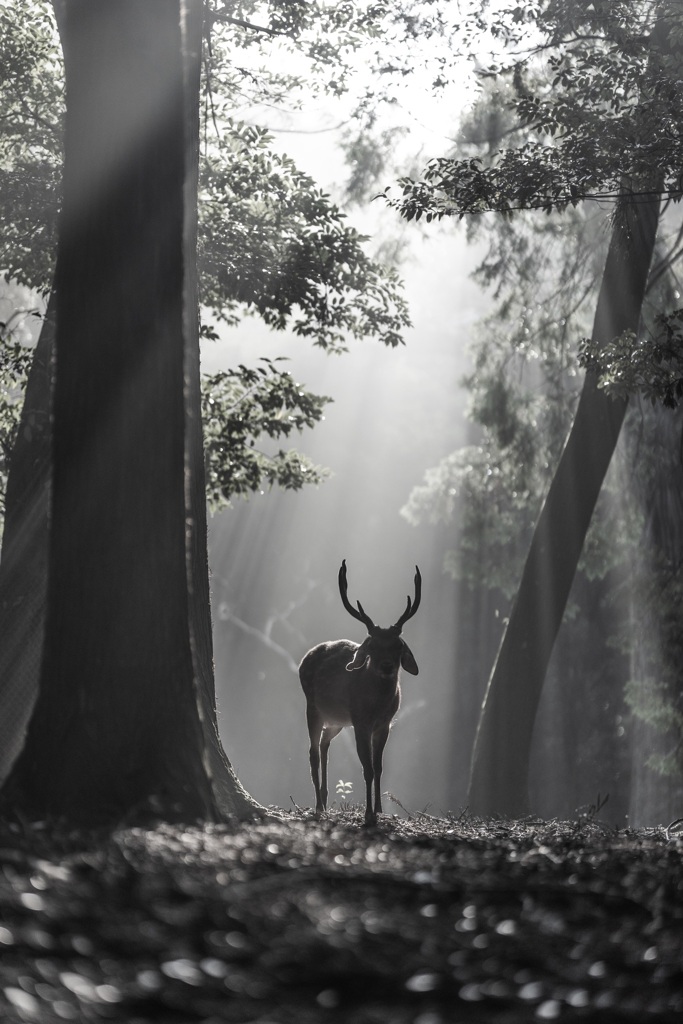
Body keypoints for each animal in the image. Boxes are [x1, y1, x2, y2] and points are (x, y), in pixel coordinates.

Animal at [301, 565, 421, 827]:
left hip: (337, 721)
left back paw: (324, 798)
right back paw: (318, 806)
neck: (377, 706)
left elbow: (379, 767)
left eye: (398, 645)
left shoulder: (385, 724)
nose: (387, 666)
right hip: (312, 707)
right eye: (372, 645)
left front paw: (379, 810)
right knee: (312, 751)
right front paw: (368, 815)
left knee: (324, 743)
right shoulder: (360, 721)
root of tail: (304, 658)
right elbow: (367, 768)